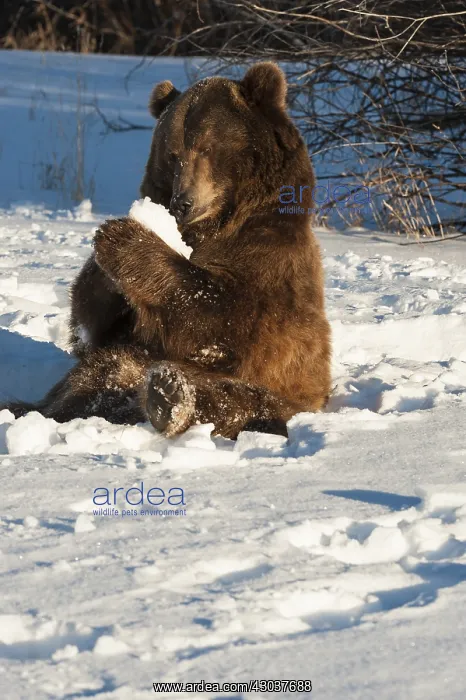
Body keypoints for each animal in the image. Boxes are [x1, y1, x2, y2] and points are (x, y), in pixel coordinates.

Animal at [5, 62, 331, 439]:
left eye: (206, 147)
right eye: (173, 154)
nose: (181, 202)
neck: (216, 225)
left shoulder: (272, 265)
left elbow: (226, 319)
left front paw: (123, 237)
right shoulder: (124, 326)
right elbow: (93, 330)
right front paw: (105, 254)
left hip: (288, 396)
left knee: (238, 400)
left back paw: (170, 396)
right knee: (97, 373)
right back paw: (28, 408)